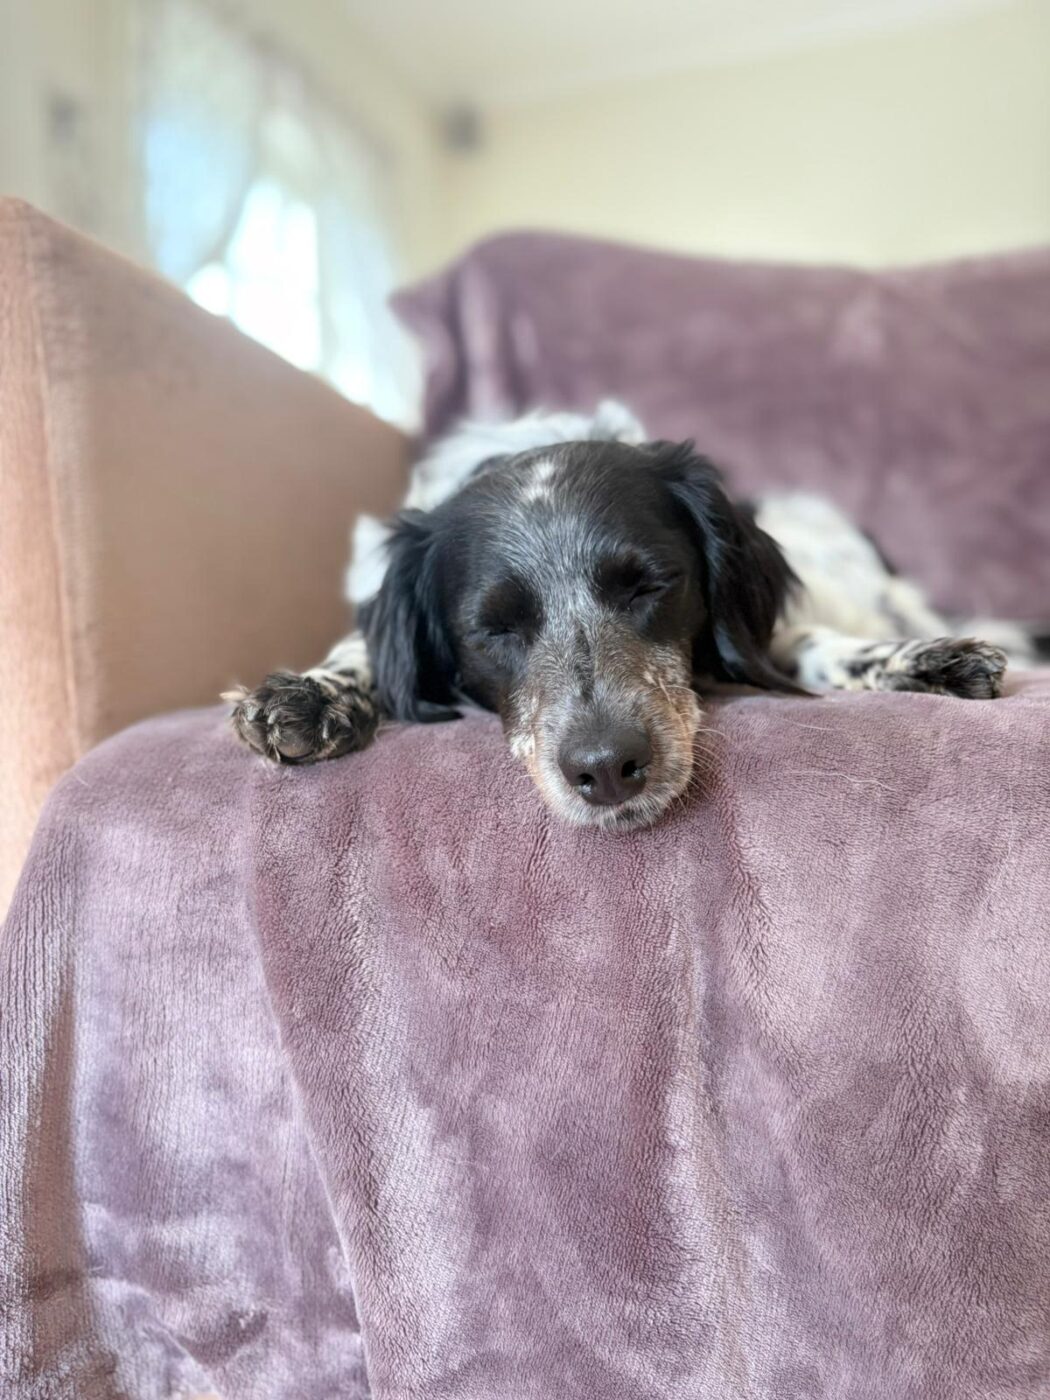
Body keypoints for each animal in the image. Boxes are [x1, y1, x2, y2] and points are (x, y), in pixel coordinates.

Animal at [228, 402, 1033, 830]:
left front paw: (915, 663)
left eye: (650, 585)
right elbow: (360, 652)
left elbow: (807, 644)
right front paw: (312, 694)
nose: (607, 769)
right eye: (492, 628)